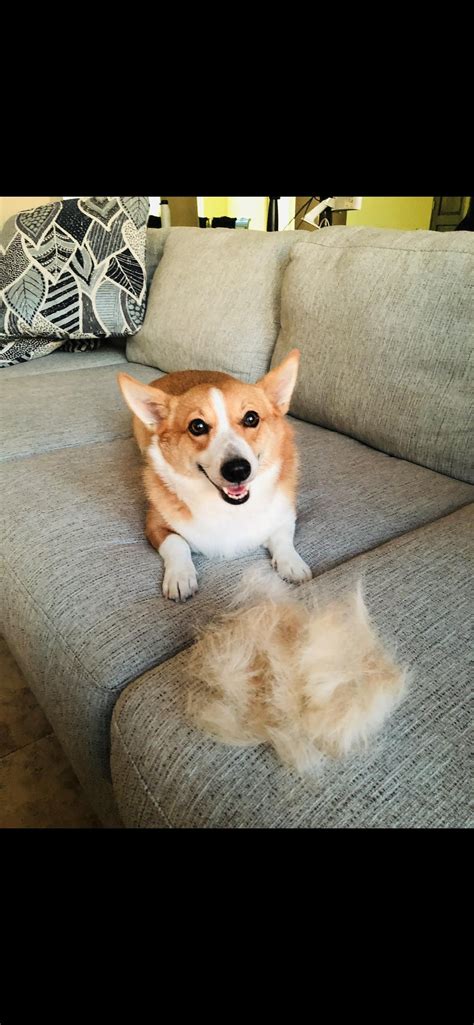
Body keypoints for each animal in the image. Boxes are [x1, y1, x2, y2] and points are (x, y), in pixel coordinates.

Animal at [117, 348, 311, 598]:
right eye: (197, 426)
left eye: (251, 418)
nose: (237, 470)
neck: (231, 510)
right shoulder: (154, 525)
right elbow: (177, 542)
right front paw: (181, 577)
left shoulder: (285, 515)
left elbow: (283, 537)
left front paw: (292, 564)